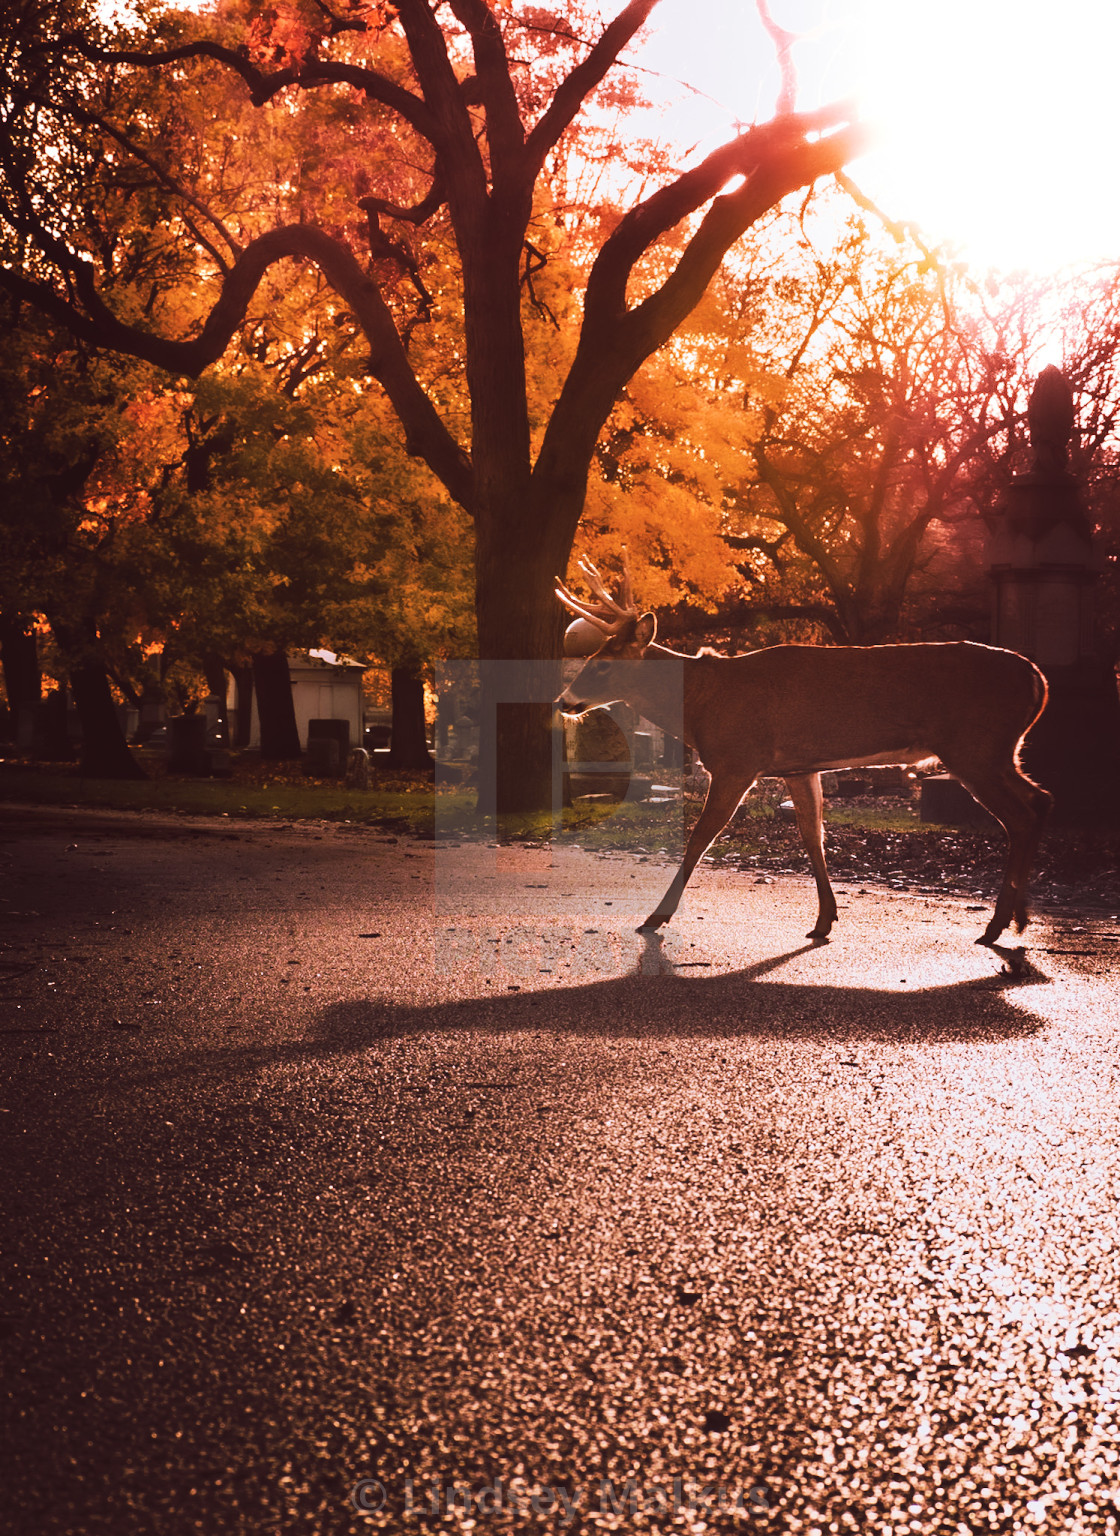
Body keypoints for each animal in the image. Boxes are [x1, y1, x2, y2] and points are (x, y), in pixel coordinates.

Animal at [556, 562, 1050, 940]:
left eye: (603, 664)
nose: (564, 701)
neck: (699, 704)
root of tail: (1037, 677)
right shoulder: (799, 766)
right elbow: (814, 835)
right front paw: (825, 920)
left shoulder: (737, 761)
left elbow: (700, 837)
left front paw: (655, 918)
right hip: (1000, 750)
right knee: (1039, 798)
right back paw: (1019, 916)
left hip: (974, 747)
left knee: (1022, 816)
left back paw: (998, 925)